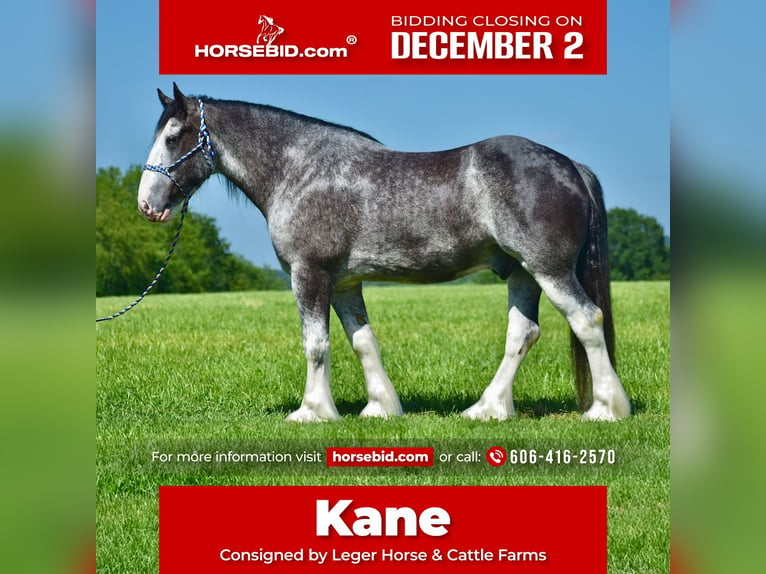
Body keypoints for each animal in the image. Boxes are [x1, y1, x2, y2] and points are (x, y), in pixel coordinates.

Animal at [140, 83, 636, 424]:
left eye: (174, 136)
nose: (147, 204)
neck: (299, 170)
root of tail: (570, 165)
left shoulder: (309, 275)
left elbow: (315, 344)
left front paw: (312, 411)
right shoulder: (344, 283)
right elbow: (362, 341)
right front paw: (379, 407)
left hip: (549, 270)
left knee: (587, 320)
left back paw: (605, 409)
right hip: (522, 274)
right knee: (523, 334)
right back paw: (487, 408)